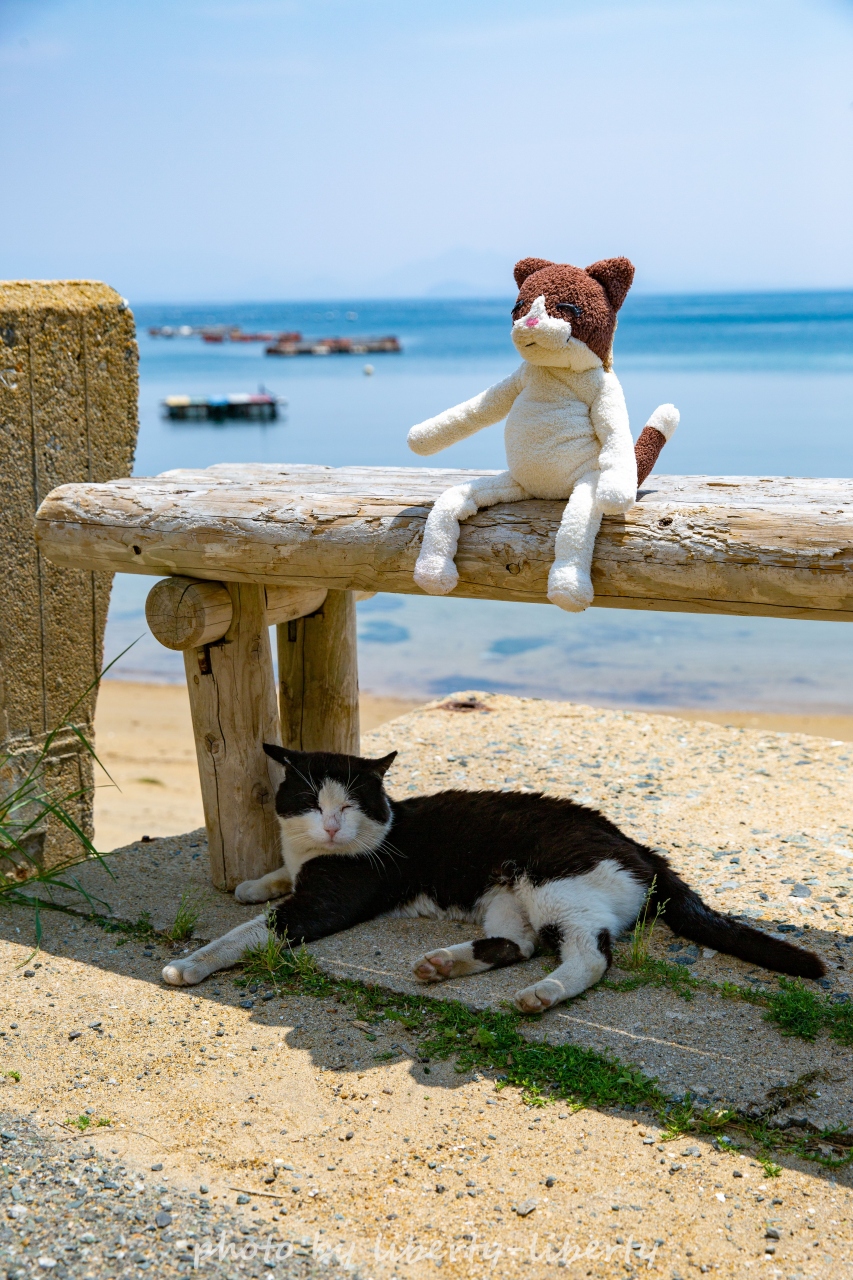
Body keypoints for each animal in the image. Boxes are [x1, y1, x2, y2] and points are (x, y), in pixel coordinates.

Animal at [161, 747, 824, 1003]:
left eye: (349, 804)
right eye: (306, 801)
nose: (329, 826)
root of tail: (640, 848)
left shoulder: (329, 898)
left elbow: (248, 934)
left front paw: (191, 965)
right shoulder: (302, 865)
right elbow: (277, 877)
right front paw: (253, 884)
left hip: (555, 882)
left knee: (589, 955)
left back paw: (542, 994)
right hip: (508, 898)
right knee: (518, 944)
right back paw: (443, 964)